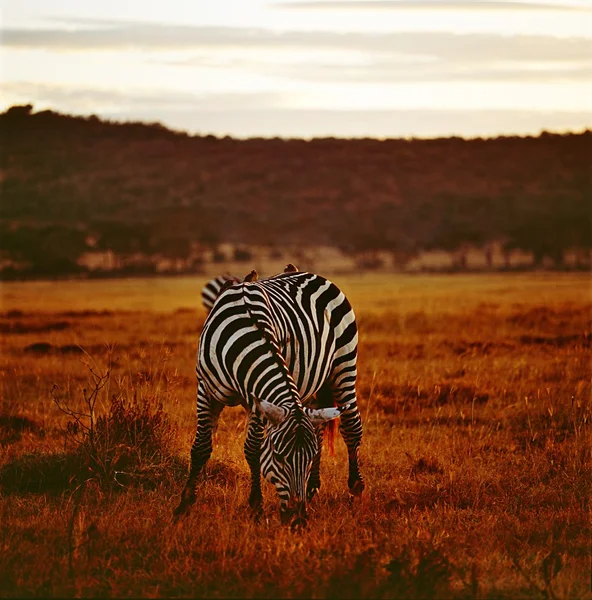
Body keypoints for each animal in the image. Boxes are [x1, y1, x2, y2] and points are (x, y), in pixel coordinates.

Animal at [173, 268, 364, 524]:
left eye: (307, 458)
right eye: (278, 456)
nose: (298, 519)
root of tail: (311, 274)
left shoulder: (256, 398)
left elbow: (253, 448)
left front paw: (256, 505)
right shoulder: (205, 388)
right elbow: (202, 445)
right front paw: (184, 504)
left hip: (344, 365)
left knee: (351, 427)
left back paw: (355, 487)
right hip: (307, 388)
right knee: (318, 427)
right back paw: (312, 488)